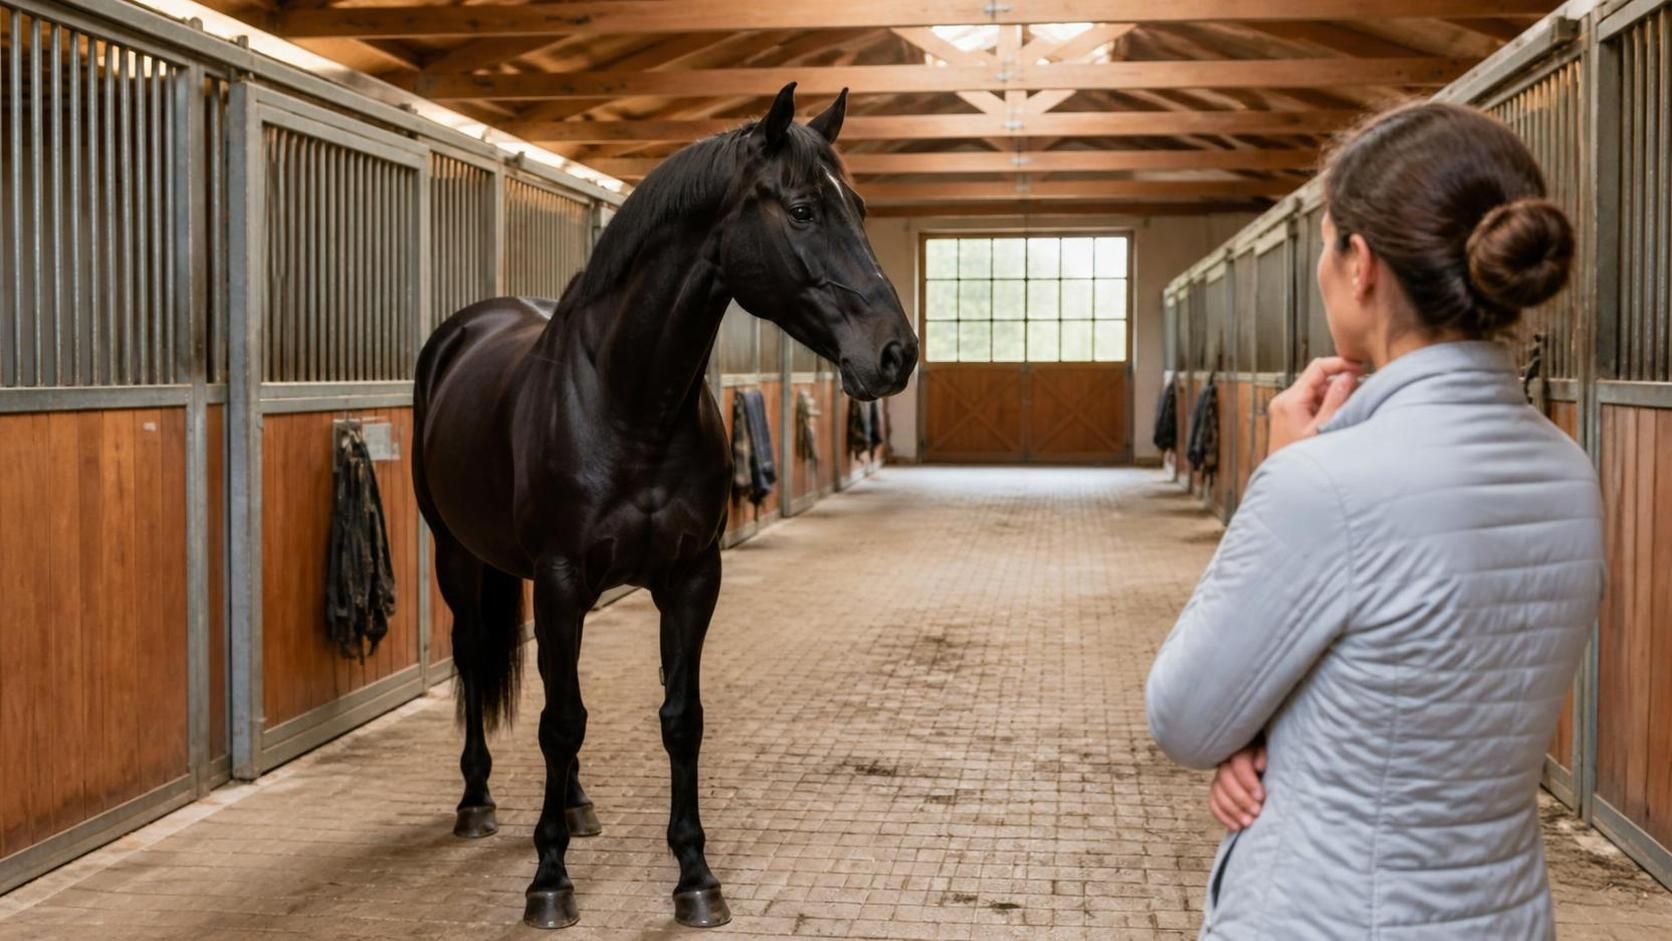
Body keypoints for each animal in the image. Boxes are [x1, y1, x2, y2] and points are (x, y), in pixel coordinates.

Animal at [411, 83, 916, 930]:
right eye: (804, 209)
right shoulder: (559, 579)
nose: (896, 353)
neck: (628, 400)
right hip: (460, 556)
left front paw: (695, 876)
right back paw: (476, 800)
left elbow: (678, 718)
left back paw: (576, 803)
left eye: (861, 207)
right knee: (478, 660)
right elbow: (561, 721)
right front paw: (550, 879)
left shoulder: (690, 578)